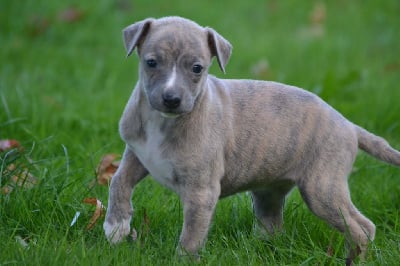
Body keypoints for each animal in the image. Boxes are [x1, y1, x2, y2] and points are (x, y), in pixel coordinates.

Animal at [104, 16, 400, 262]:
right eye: (151, 63)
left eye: (197, 68)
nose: (171, 98)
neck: (164, 121)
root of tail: (349, 125)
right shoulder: (138, 154)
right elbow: (119, 181)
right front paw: (116, 226)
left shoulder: (201, 192)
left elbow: (191, 237)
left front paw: (182, 259)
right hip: (270, 193)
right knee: (275, 226)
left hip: (322, 189)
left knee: (361, 227)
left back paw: (354, 258)